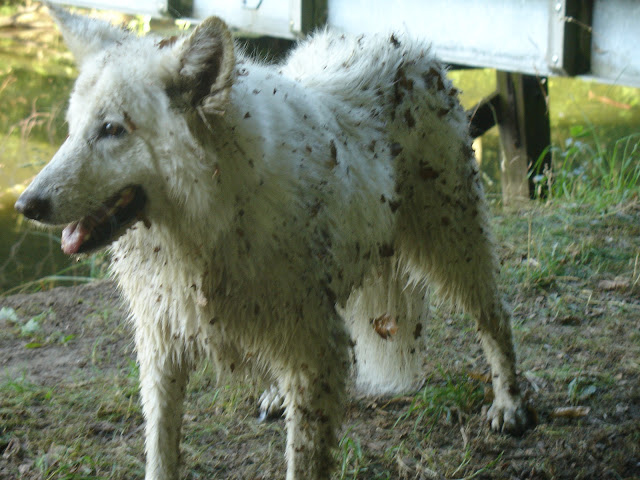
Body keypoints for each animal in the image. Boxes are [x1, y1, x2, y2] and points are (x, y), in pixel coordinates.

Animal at [17, 4, 532, 480]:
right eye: (72, 129)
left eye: (111, 130)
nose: (25, 205)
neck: (209, 222)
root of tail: (401, 41)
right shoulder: (162, 347)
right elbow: (160, 451)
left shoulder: (316, 349)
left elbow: (303, 459)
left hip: (454, 243)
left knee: (497, 318)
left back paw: (509, 403)